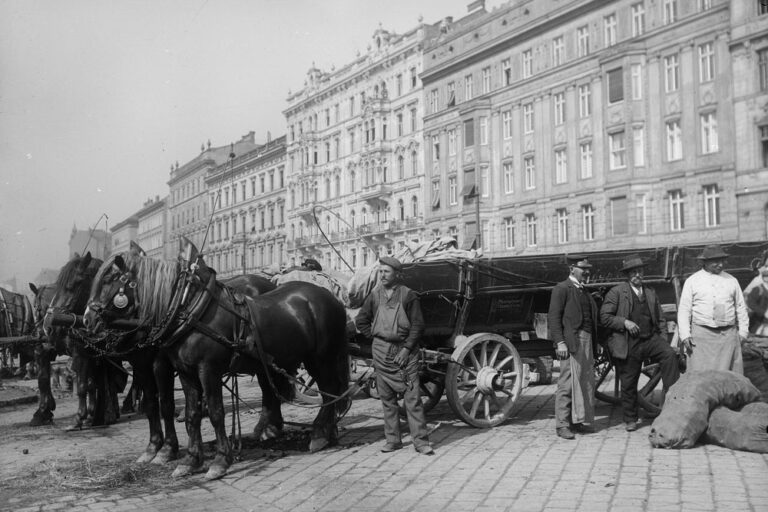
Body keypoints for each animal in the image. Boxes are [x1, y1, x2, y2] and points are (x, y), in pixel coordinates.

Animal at [83, 240, 348, 480]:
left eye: (109, 279)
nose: (87, 319)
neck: (188, 311)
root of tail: (331, 297)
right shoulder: (184, 372)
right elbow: (190, 414)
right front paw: (190, 460)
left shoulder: (204, 370)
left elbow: (213, 412)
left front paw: (219, 461)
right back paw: (315, 431)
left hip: (321, 358)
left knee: (329, 391)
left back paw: (319, 434)